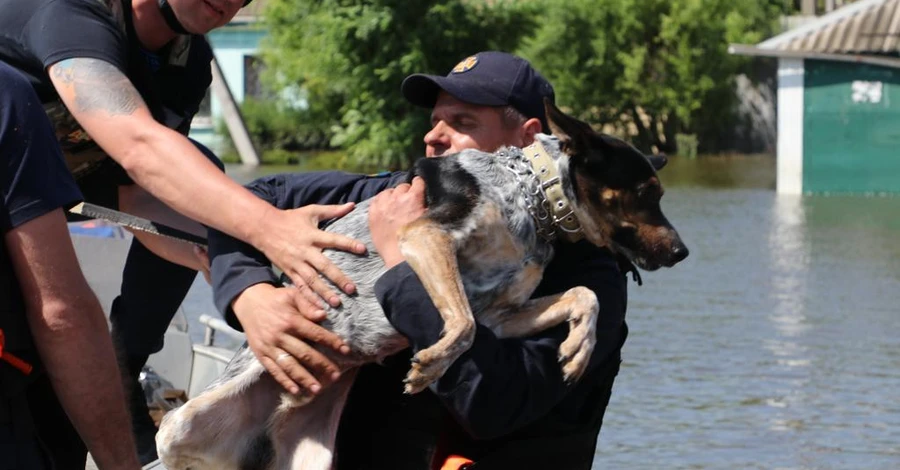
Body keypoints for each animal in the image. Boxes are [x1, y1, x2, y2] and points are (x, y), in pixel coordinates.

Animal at [156, 100, 688, 470]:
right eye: (647, 192)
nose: (682, 252)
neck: (529, 197)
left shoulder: (504, 314)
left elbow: (585, 295)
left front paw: (580, 347)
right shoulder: (426, 237)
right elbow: (462, 323)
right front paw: (429, 367)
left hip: (310, 457)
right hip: (177, 428)